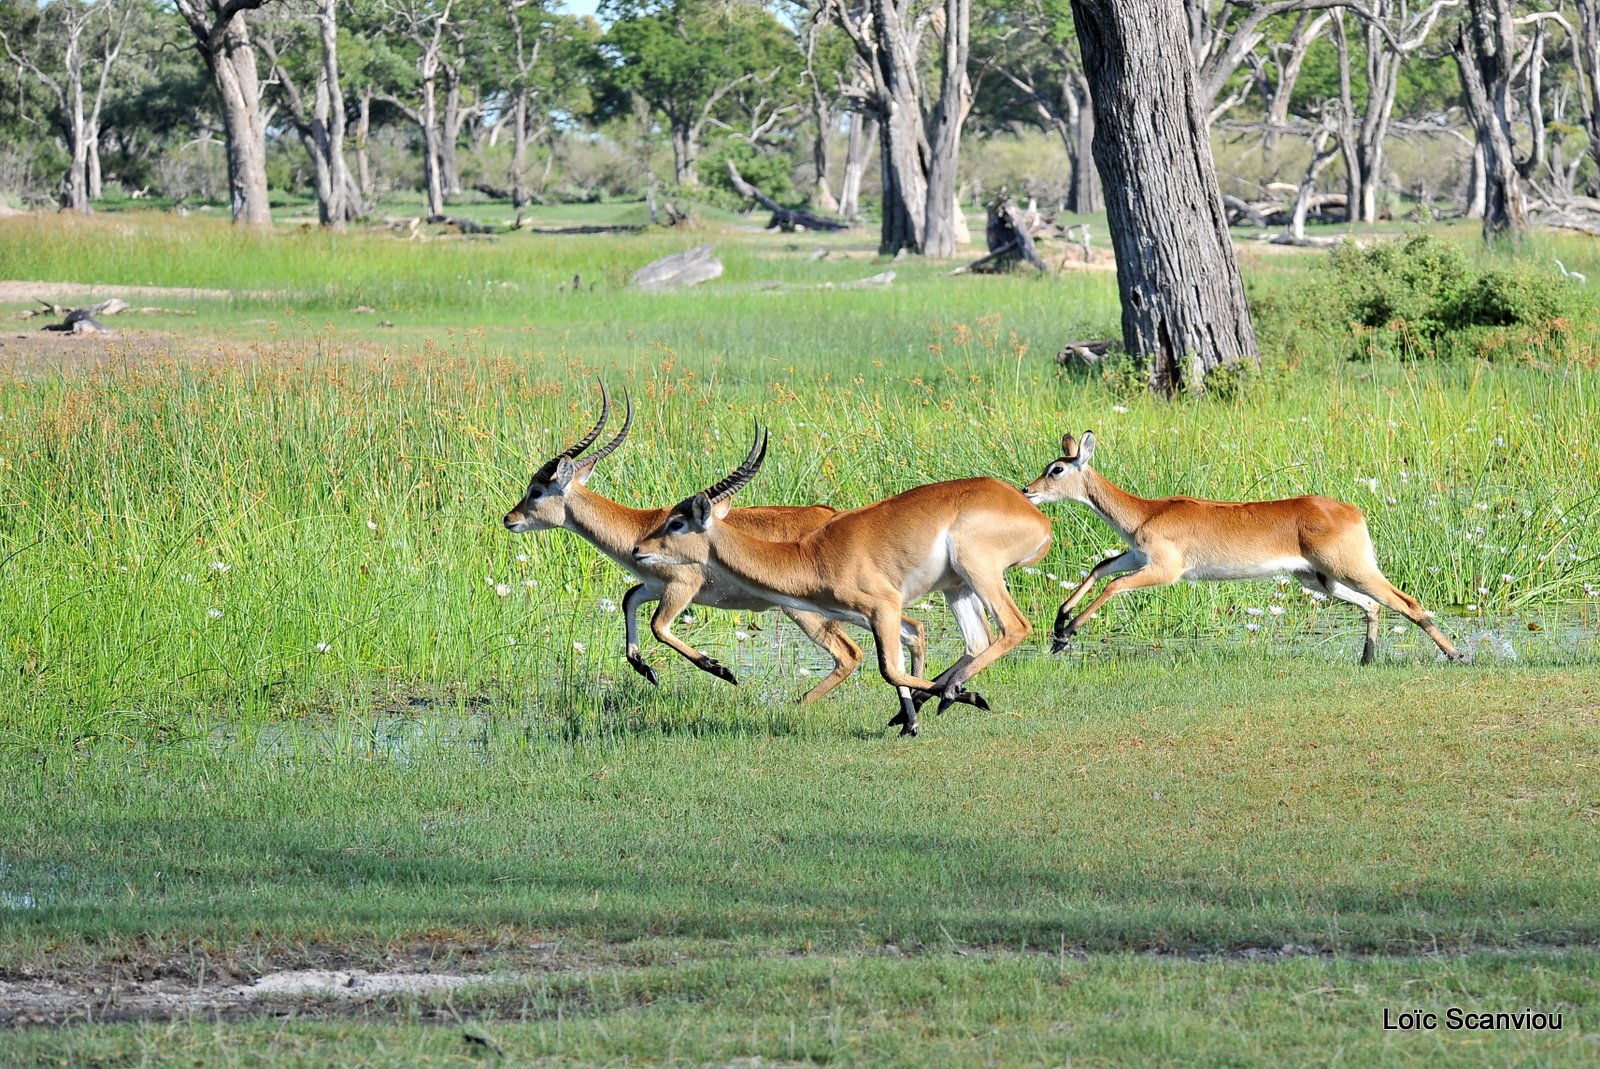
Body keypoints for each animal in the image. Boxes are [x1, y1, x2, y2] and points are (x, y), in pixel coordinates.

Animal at [499, 384, 928, 700]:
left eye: (536, 490)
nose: (509, 519)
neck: (640, 528)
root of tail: (831, 516)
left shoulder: (682, 587)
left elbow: (659, 626)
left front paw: (721, 669)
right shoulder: (652, 586)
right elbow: (629, 601)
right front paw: (646, 669)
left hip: (806, 611)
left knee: (850, 654)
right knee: (908, 629)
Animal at [630, 425, 1056, 736]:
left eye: (677, 522)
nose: (637, 549)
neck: (811, 555)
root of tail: (1035, 515)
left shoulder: (883, 606)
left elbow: (888, 669)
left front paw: (955, 704)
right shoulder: (864, 615)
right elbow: (898, 658)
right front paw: (910, 723)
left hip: (979, 572)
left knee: (1015, 627)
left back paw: (954, 694)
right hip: (957, 588)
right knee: (977, 640)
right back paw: (934, 702)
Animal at [1024, 428, 1465, 662]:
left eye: (1056, 469)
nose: (1028, 490)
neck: (1146, 512)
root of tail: (1353, 511)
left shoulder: (1165, 570)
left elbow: (1113, 584)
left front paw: (1066, 635)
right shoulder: (1138, 554)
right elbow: (1100, 568)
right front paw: (1059, 624)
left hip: (1351, 569)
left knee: (1406, 602)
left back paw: (1457, 655)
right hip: (1318, 579)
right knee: (1373, 606)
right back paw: (1366, 659)